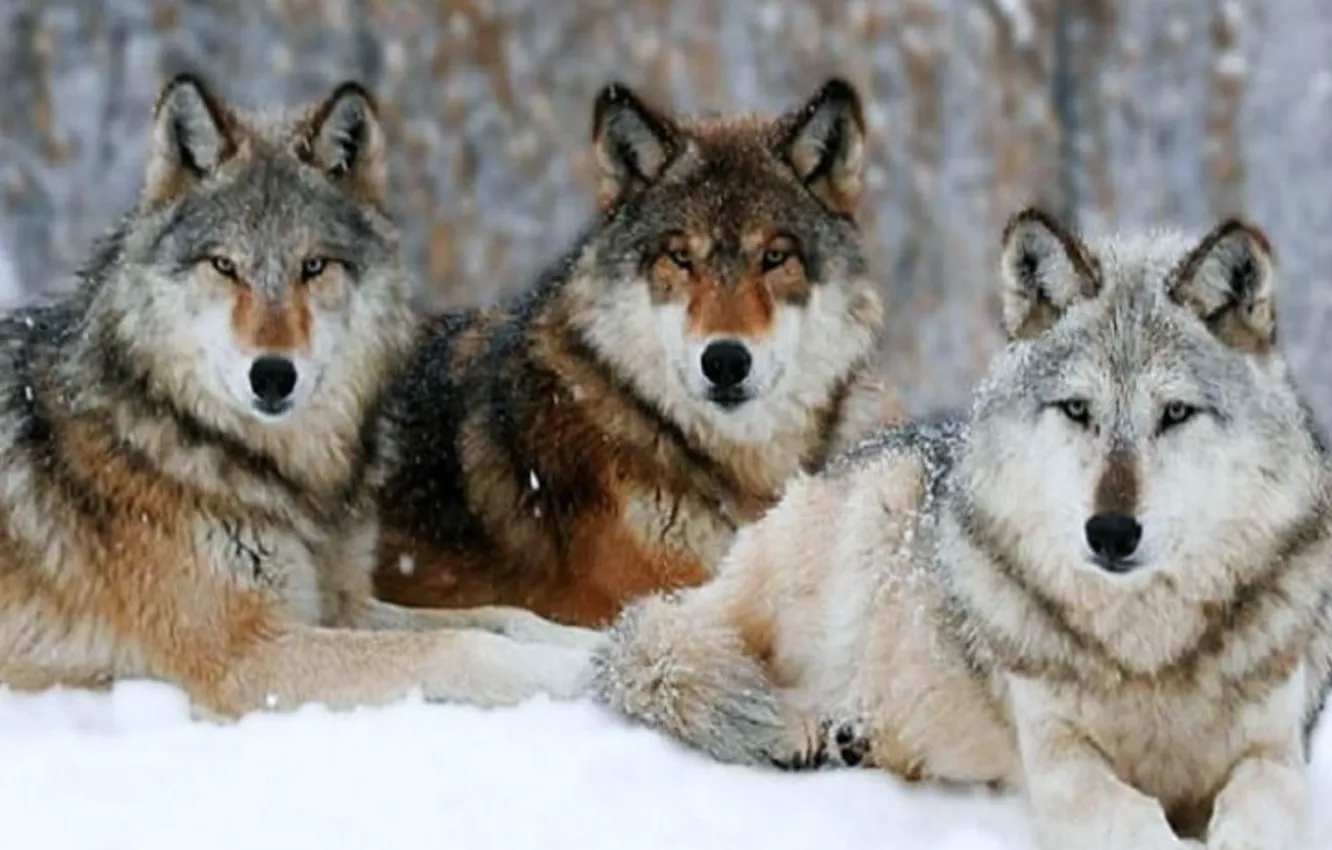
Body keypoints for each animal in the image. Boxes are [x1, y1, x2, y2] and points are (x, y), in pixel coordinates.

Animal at [0, 73, 604, 720]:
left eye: (313, 266)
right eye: (225, 266)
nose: (272, 376)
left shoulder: (339, 603)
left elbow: (502, 615)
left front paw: (606, 636)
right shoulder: (246, 657)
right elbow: (460, 646)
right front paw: (589, 671)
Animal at [593, 208, 1332, 850]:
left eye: (1175, 413)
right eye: (1077, 410)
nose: (1112, 532)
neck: (1144, 650)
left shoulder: (1273, 751)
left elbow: (1262, 807)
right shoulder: (1059, 759)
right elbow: (1133, 819)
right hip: (860, 528)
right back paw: (810, 727)